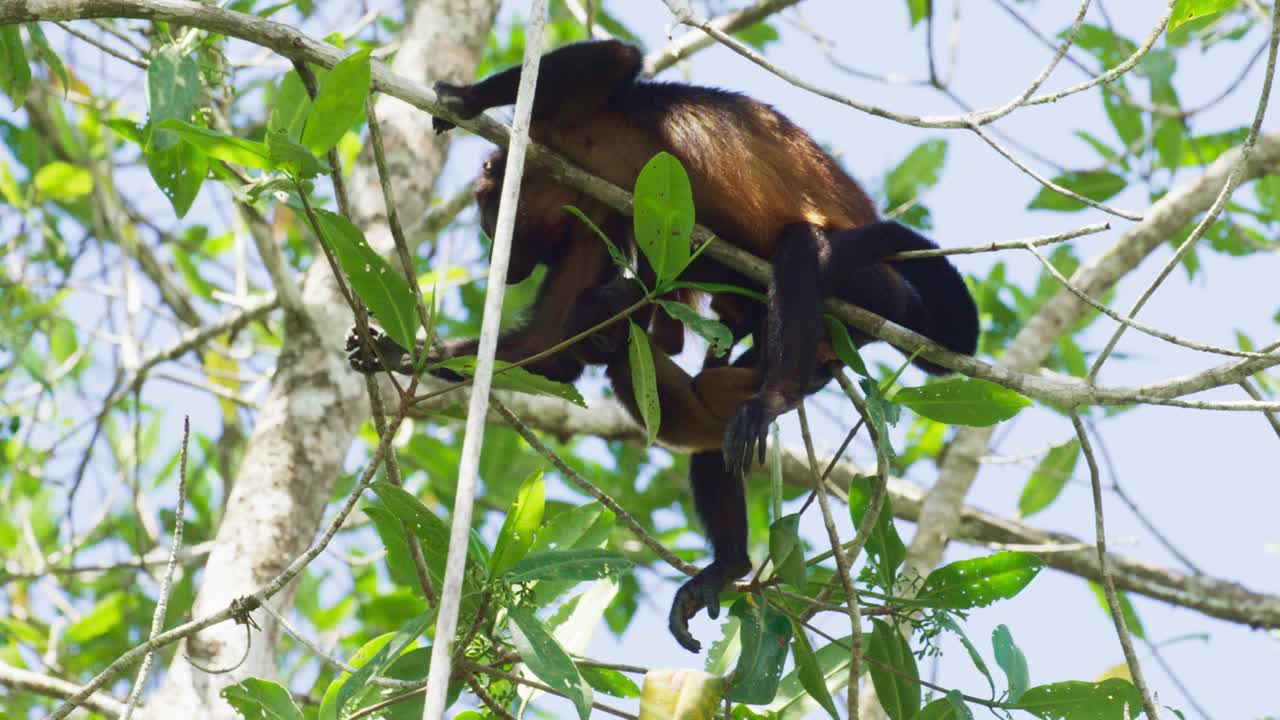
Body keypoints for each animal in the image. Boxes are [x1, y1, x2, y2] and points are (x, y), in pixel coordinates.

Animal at [345, 41, 972, 653]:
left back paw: (775, 393)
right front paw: (397, 354)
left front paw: (464, 96)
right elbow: (553, 344)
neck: (568, 170)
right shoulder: (588, 215)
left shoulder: (573, 127)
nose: (490, 238)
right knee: (717, 429)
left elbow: (615, 59)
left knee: (799, 252)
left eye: (483, 211)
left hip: (868, 285)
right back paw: (727, 564)